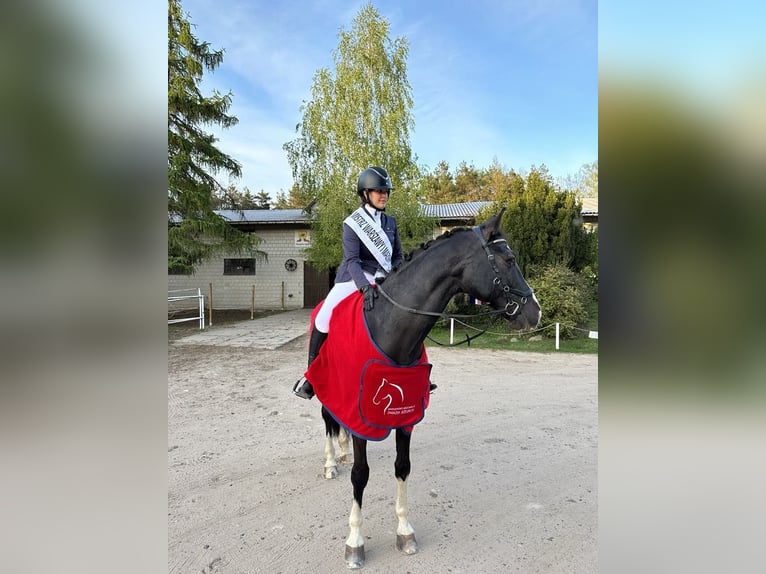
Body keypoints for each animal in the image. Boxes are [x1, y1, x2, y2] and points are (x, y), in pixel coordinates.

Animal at [307, 210, 541, 569]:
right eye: (509, 259)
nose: (536, 311)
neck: (392, 328)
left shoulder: (406, 416)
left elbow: (402, 468)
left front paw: (405, 532)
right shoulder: (363, 416)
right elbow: (360, 474)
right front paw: (355, 542)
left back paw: (342, 452)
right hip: (323, 383)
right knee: (326, 416)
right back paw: (332, 461)